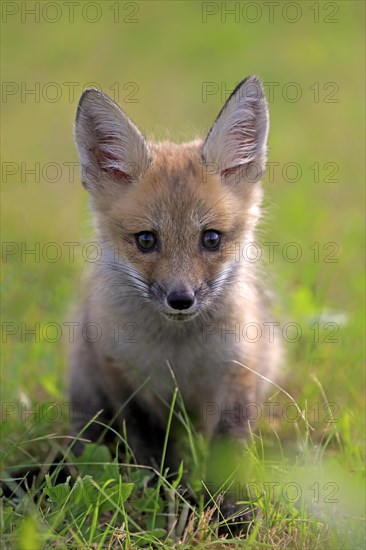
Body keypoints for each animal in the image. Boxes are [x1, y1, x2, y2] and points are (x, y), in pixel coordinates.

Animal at [71, 76, 284, 532]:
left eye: (211, 238)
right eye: (146, 240)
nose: (181, 299)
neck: (178, 354)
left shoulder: (238, 372)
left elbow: (228, 451)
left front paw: (233, 515)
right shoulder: (124, 379)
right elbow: (150, 455)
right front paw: (156, 508)